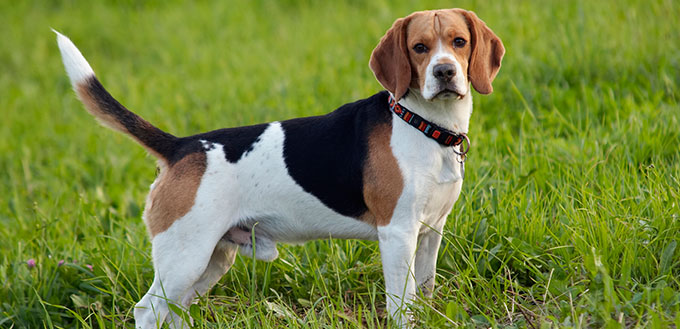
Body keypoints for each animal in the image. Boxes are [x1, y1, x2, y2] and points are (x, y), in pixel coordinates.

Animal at [55, 7, 504, 328]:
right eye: (419, 48)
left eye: (459, 42)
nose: (444, 72)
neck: (423, 124)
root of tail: (181, 146)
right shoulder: (397, 234)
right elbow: (401, 305)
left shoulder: (430, 232)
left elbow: (423, 294)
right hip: (185, 256)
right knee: (148, 311)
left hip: (211, 260)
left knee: (174, 312)